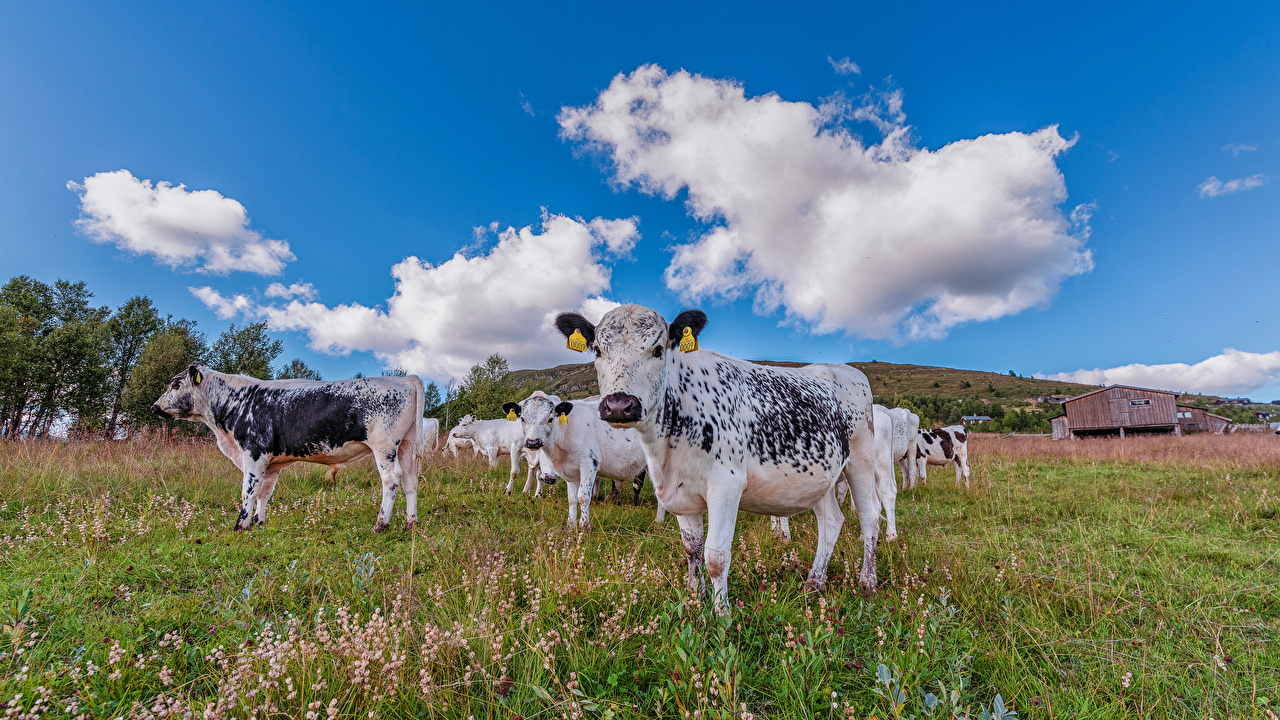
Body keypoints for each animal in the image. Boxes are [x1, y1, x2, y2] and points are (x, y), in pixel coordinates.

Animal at [151, 364, 424, 531]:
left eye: (175, 385)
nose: (155, 407)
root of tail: (405, 379)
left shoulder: (254, 453)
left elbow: (248, 491)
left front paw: (240, 526)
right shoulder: (271, 463)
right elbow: (264, 492)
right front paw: (259, 523)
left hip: (384, 446)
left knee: (391, 479)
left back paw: (381, 524)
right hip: (407, 446)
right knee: (411, 481)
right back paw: (410, 523)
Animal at [503, 391, 664, 527]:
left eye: (550, 419)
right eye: (522, 418)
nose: (533, 442)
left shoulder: (589, 463)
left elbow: (583, 496)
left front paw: (584, 526)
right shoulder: (570, 471)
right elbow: (572, 498)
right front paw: (571, 525)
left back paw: (658, 521)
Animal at [553, 305, 879, 609]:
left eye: (658, 349)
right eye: (597, 350)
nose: (619, 405)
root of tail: (844, 370)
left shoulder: (726, 486)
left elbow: (716, 556)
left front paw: (722, 614)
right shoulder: (681, 493)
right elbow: (692, 549)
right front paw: (694, 599)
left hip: (861, 460)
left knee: (870, 517)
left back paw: (868, 582)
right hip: (821, 476)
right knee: (831, 521)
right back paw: (814, 582)